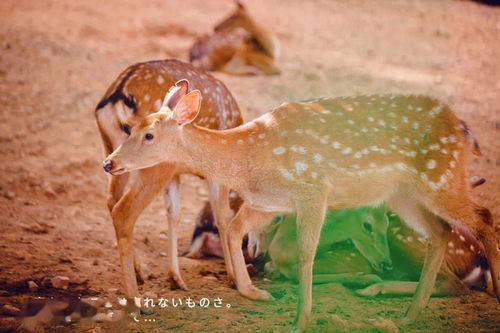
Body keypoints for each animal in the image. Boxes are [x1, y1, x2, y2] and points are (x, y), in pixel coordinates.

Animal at [94, 59, 243, 296]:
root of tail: (119, 91)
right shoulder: (216, 173)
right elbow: (222, 218)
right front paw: (233, 277)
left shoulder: (175, 174)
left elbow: (174, 214)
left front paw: (175, 277)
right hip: (154, 166)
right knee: (123, 210)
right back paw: (135, 296)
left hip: (112, 149)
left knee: (112, 200)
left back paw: (140, 272)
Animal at [102, 82, 500, 330]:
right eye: (130, 128)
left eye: (148, 135)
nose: (108, 163)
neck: (250, 159)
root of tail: (463, 128)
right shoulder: (269, 202)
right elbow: (234, 230)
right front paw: (255, 292)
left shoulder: (312, 189)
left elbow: (307, 254)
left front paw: (301, 319)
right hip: (404, 194)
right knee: (442, 231)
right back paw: (409, 314)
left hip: (441, 177)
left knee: (482, 218)